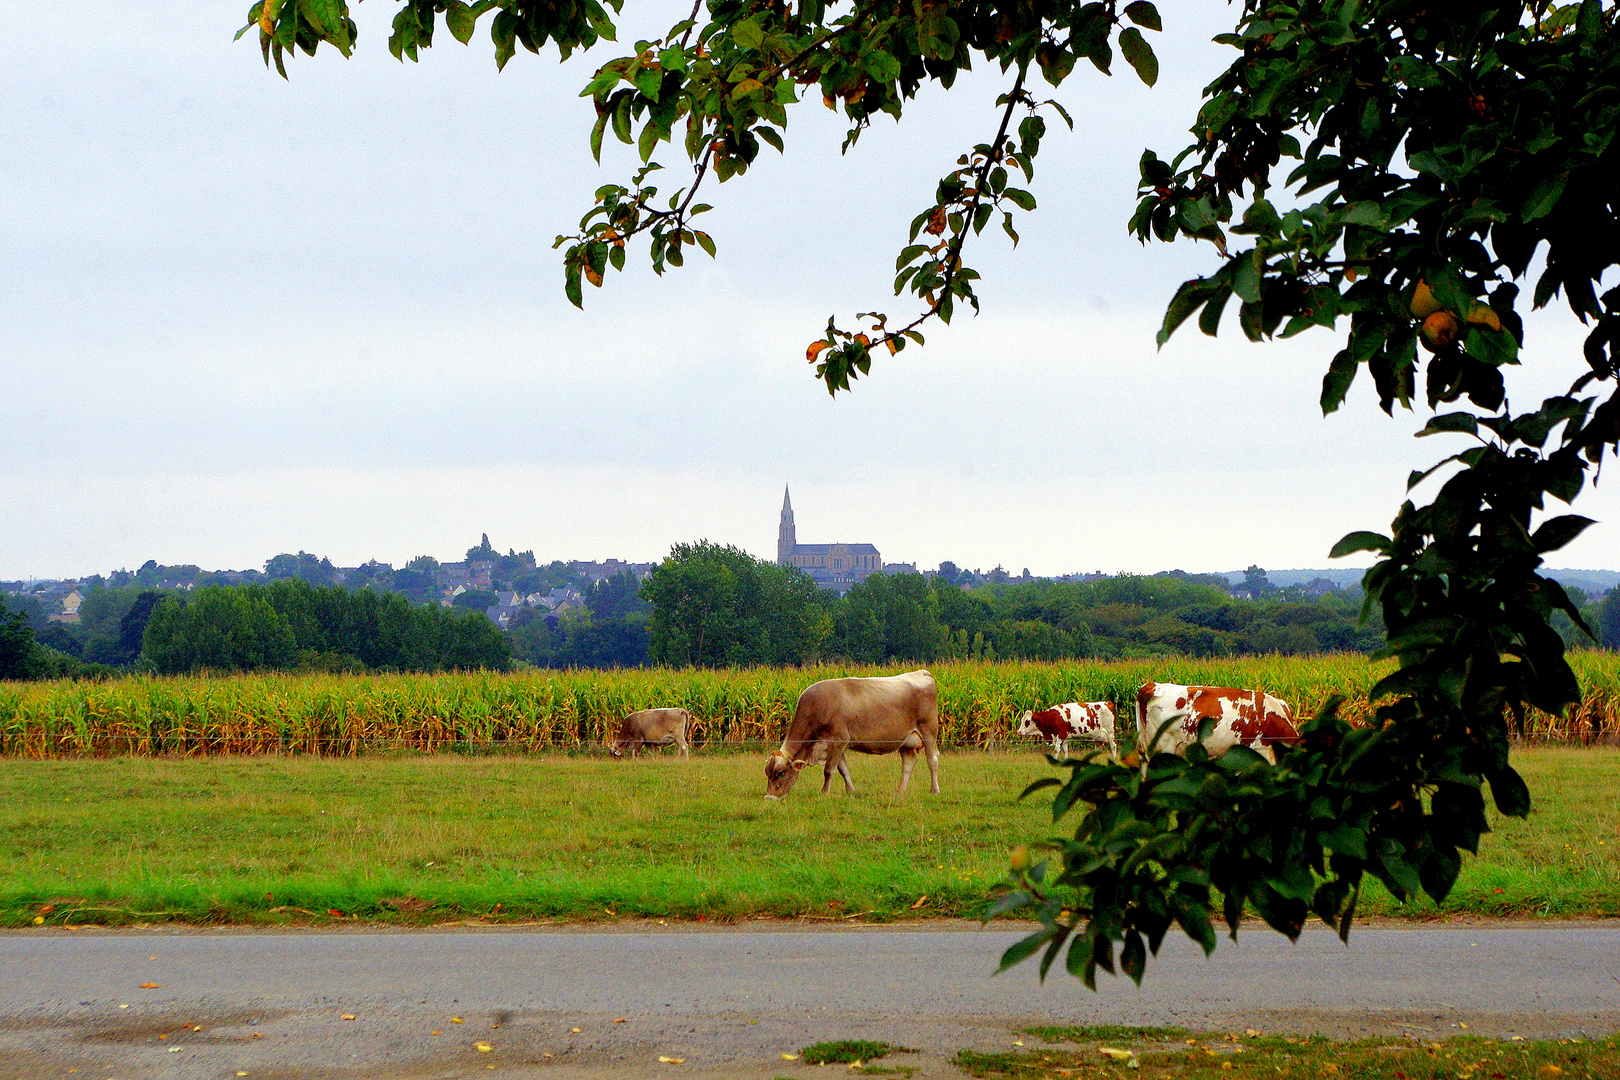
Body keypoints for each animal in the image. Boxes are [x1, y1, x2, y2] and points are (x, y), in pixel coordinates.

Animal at [764, 670, 946, 799]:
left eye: (780, 773)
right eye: (767, 773)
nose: (769, 797)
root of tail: (921, 672)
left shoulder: (839, 739)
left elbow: (829, 770)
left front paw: (824, 792)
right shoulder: (834, 745)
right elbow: (843, 769)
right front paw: (851, 791)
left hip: (929, 731)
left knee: (932, 760)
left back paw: (934, 790)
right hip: (906, 740)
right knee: (908, 763)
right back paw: (900, 790)